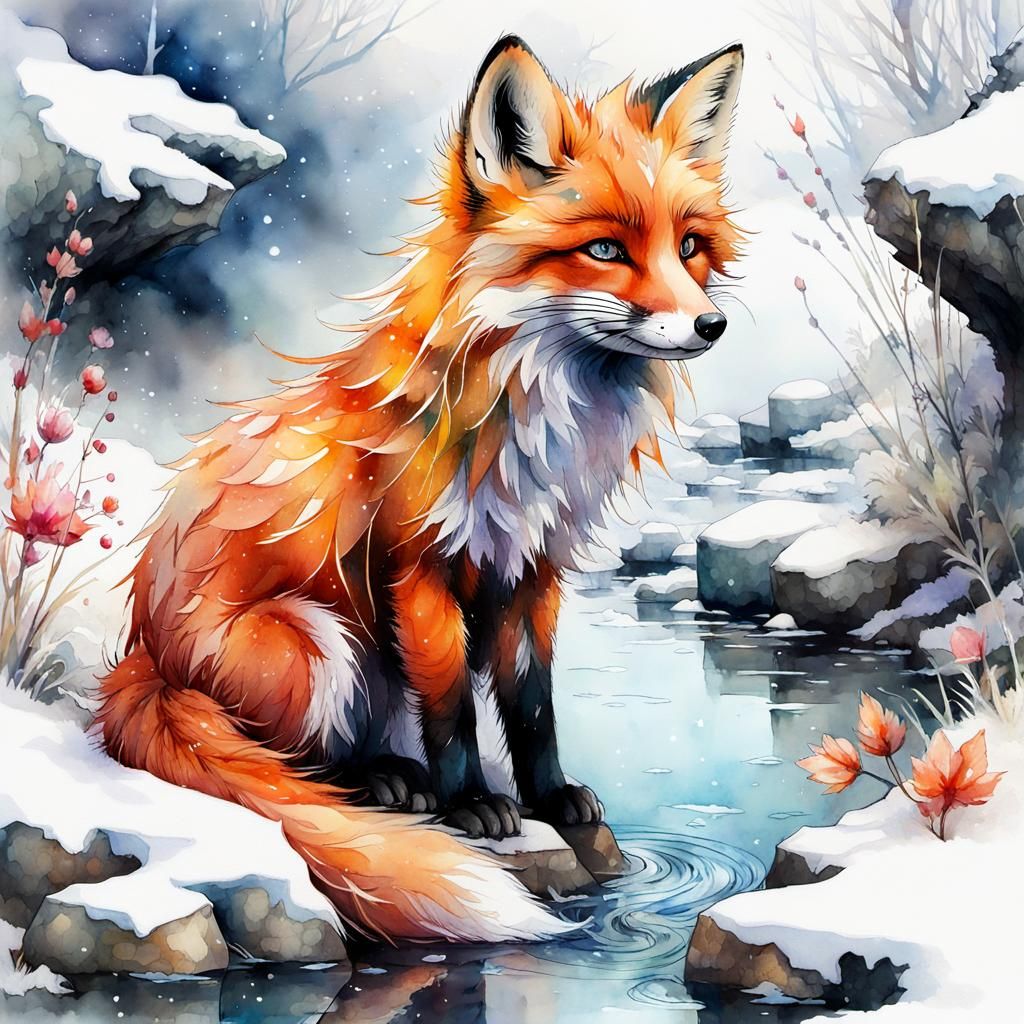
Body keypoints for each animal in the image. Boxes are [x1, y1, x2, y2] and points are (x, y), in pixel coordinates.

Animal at [96, 35, 744, 945]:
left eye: (688, 246)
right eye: (606, 251)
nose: (710, 326)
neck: (530, 427)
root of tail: (145, 654)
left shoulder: (533, 570)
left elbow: (531, 705)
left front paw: (551, 799)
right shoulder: (421, 568)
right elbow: (453, 711)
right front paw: (473, 804)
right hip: (318, 643)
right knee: (291, 763)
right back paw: (385, 785)